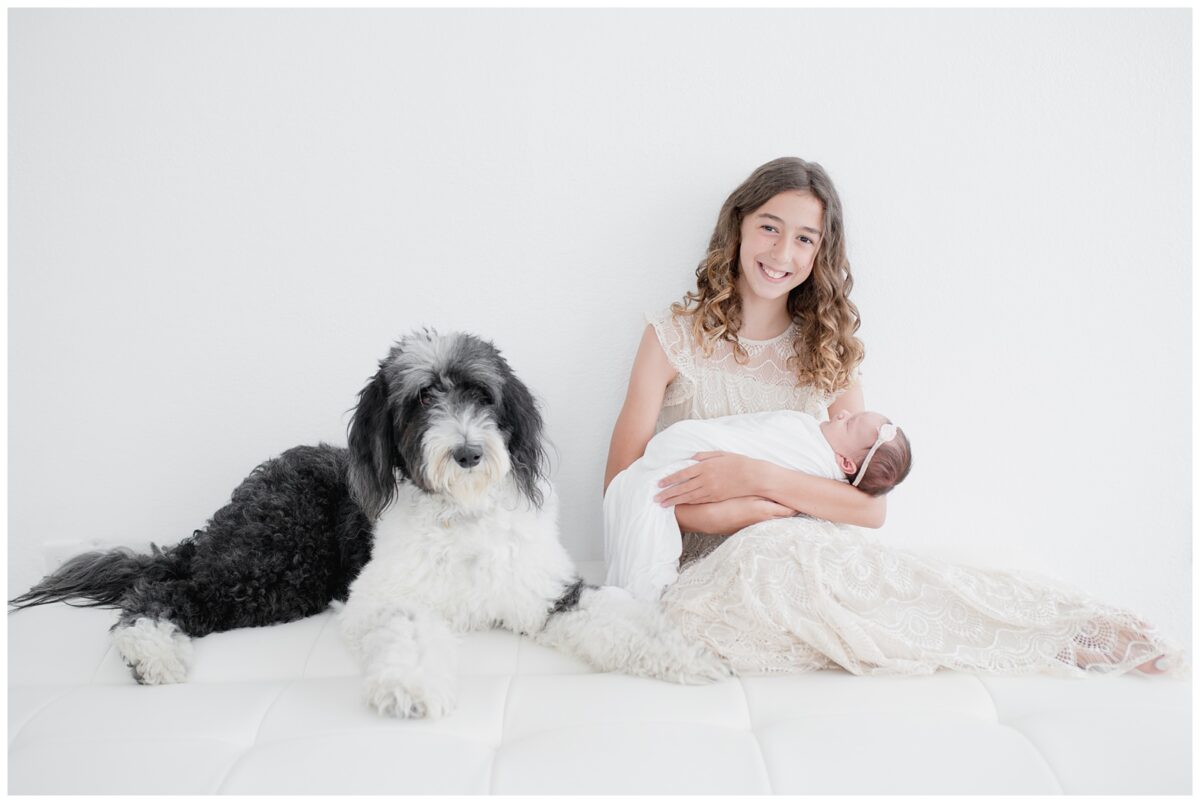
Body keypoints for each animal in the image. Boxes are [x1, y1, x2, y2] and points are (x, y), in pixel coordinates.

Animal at [9, 328, 724, 715]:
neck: (461, 516)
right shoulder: (384, 598)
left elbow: (622, 621)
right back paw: (153, 652)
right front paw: (411, 686)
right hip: (272, 568)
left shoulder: (551, 593)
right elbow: (410, 631)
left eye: (482, 395)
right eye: (422, 398)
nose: (468, 452)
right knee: (161, 591)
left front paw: (693, 654)